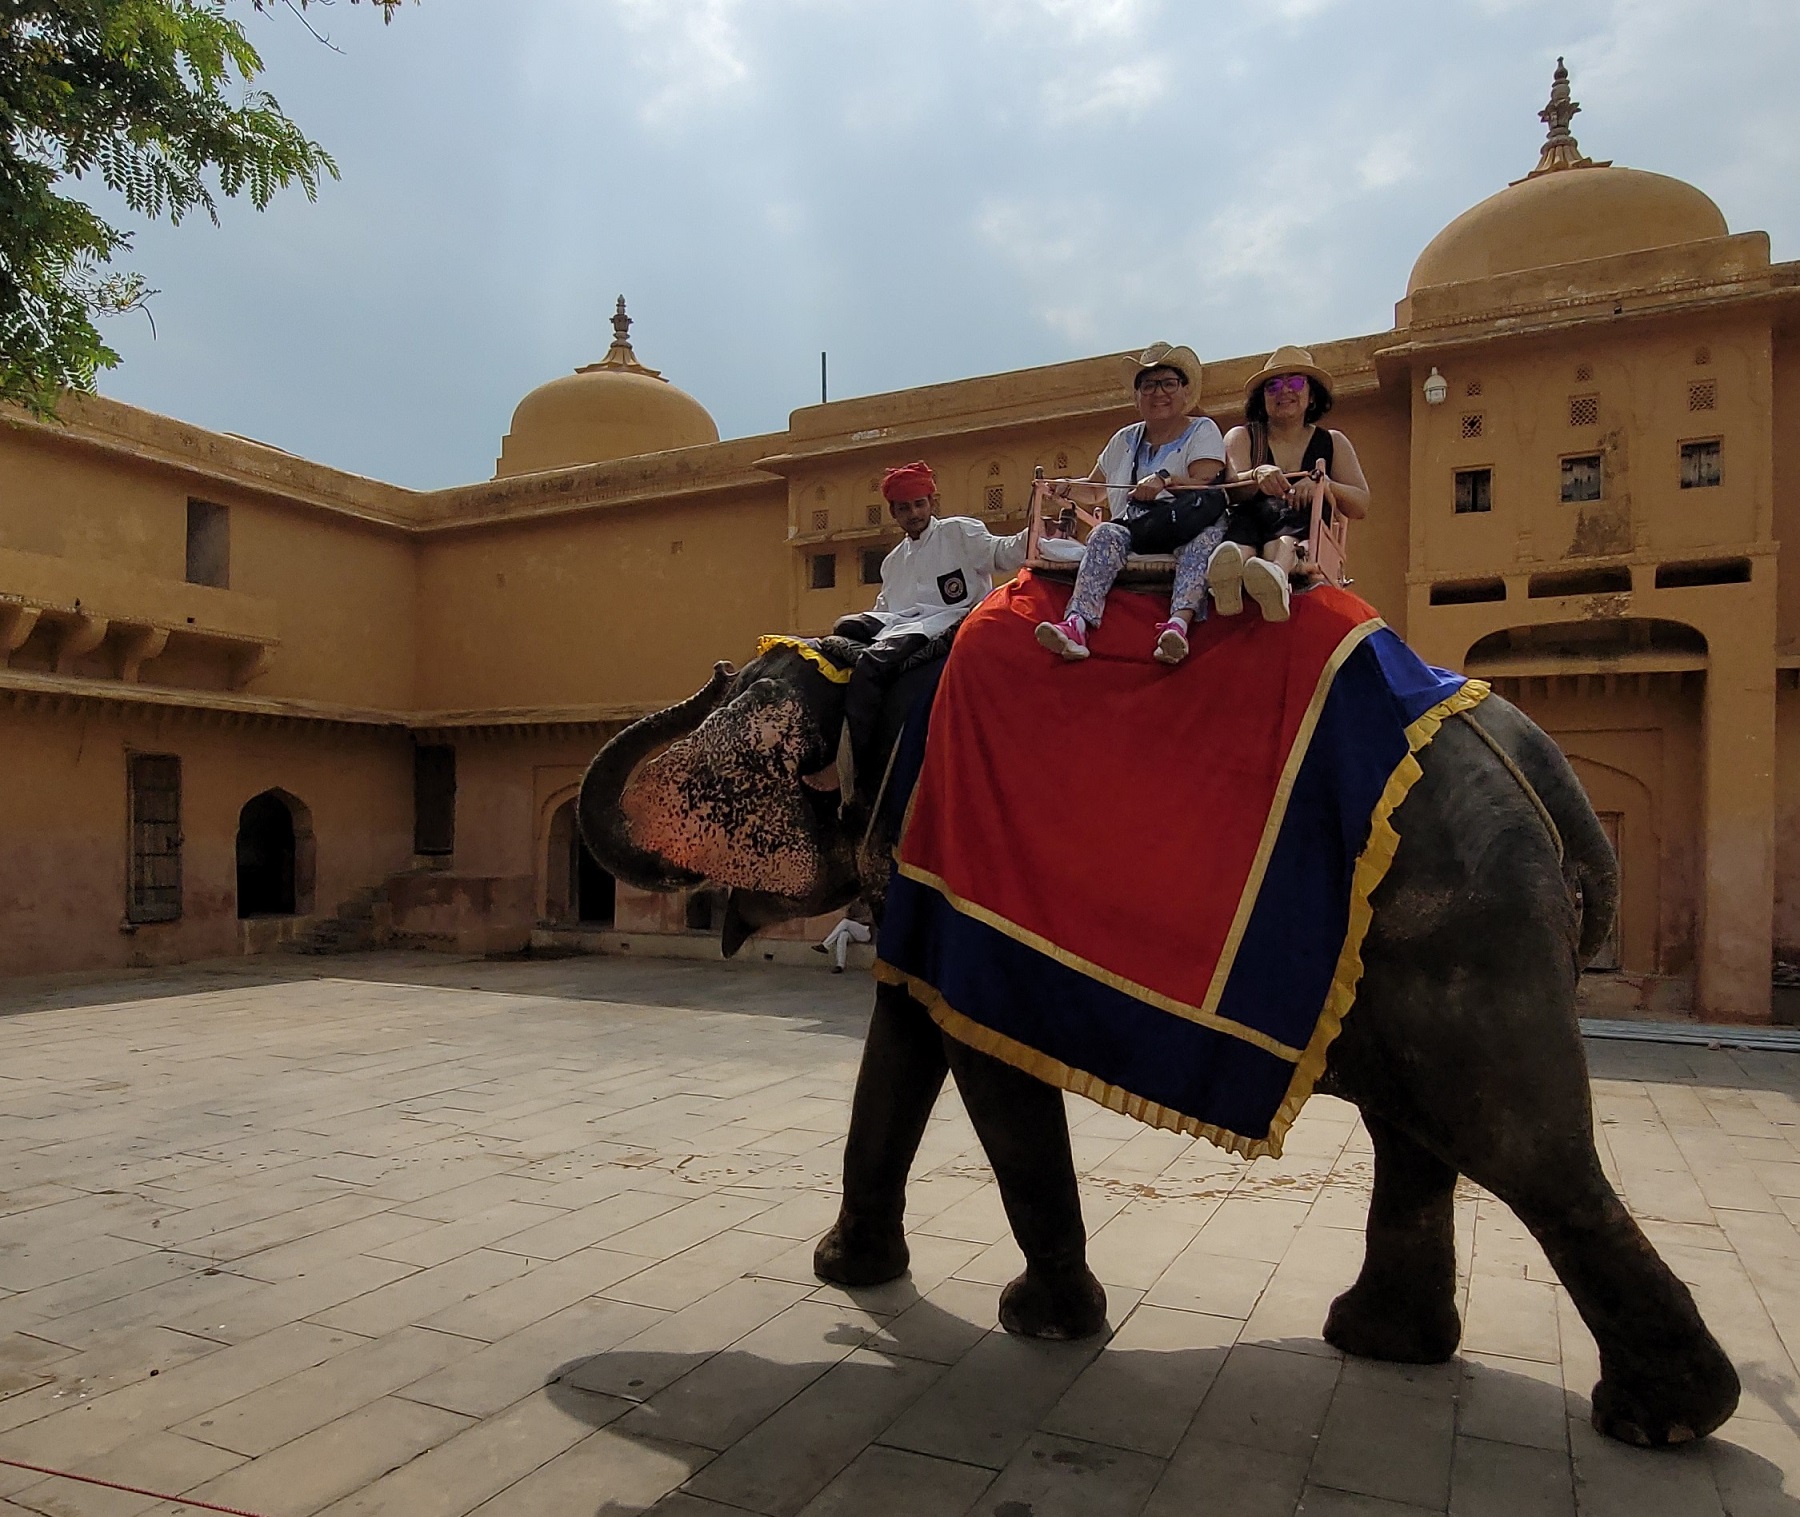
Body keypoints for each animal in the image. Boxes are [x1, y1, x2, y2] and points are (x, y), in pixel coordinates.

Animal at [578, 632, 1740, 1449]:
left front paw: (1042, 1324)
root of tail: (1551, 772)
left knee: (1517, 1143)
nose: (708, 666)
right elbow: (900, 1039)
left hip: (1466, 924)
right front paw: (849, 1279)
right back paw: (1383, 1344)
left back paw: (1665, 1420)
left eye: (735, 696)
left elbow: (979, 1058)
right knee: (1420, 1132)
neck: (881, 668)